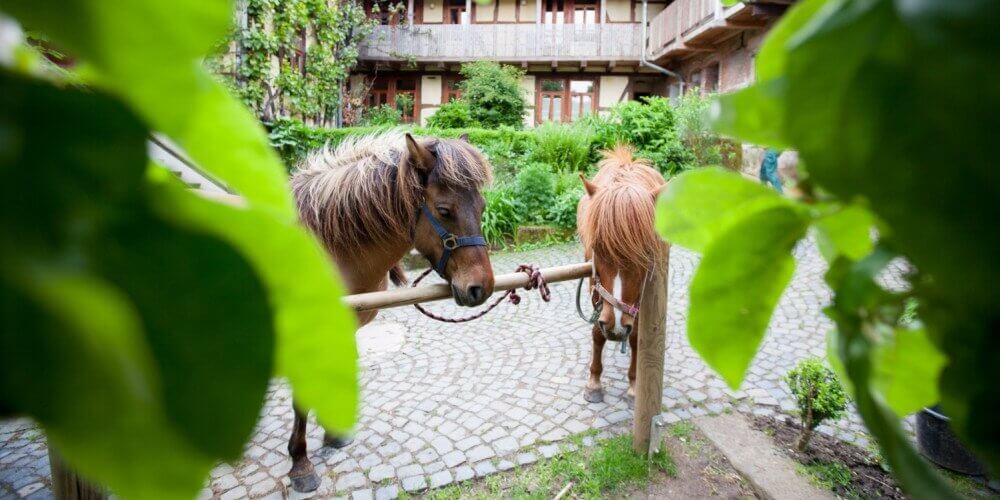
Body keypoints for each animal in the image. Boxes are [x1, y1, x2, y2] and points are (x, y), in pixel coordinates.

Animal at [288, 129, 494, 492]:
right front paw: (300, 463)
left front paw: (332, 434)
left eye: (482, 208)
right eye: (444, 210)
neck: (325, 249)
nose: (480, 287)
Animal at [580, 146, 664, 404]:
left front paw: (635, 384)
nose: (616, 326)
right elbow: (597, 332)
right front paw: (594, 382)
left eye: (645, 251)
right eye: (597, 247)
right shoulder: (595, 287)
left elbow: (636, 335)